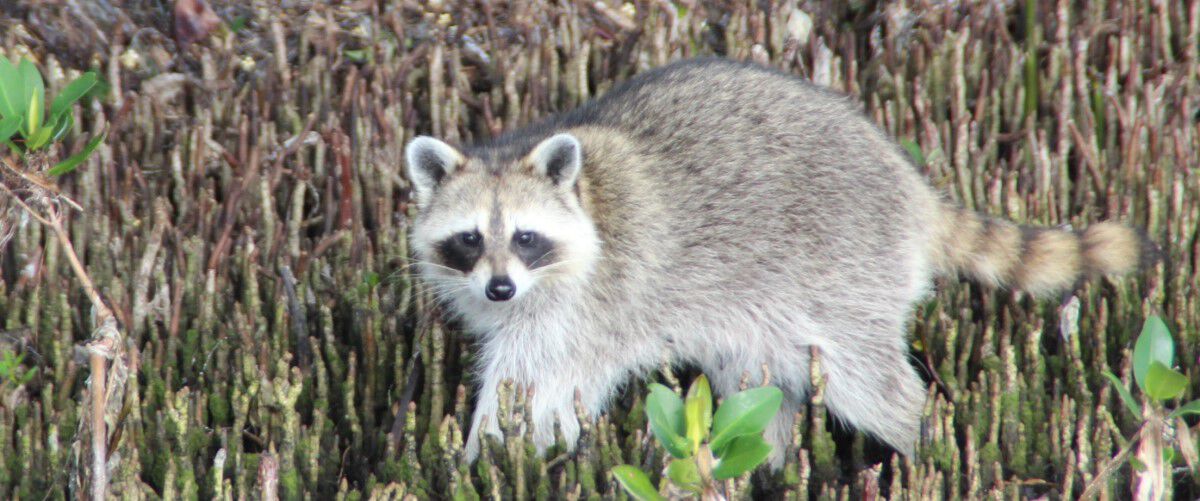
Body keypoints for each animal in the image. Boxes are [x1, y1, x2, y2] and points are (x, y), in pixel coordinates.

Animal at [403, 57, 1152, 462]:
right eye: (470, 238)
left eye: (526, 237)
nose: (499, 289)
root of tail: (910, 186)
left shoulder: (592, 308)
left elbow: (540, 383)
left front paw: (481, 459)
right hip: (757, 319)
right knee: (755, 388)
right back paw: (764, 465)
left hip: (846, 275)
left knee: (873, 387)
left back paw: (923, 442)